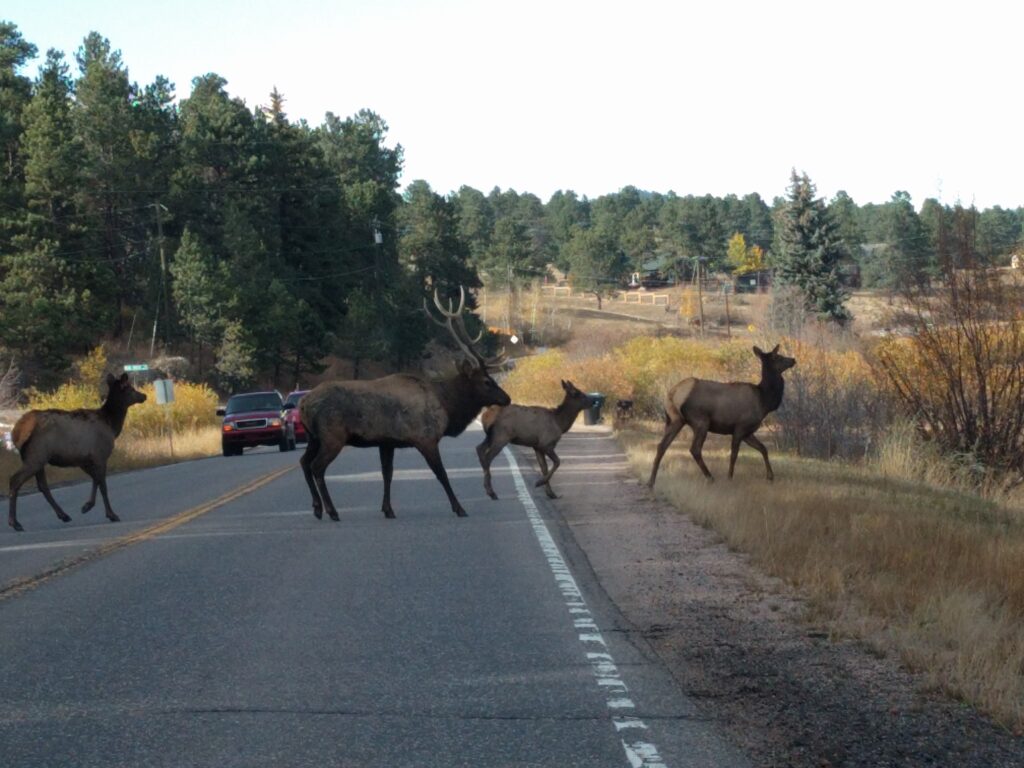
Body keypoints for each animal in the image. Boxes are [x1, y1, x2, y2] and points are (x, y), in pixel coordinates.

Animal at [7, 372, 147, 532]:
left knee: (43, 486)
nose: (144, 396)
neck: (112, 426)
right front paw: (111, 514)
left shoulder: (84, 460)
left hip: (37, 457)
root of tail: (16, 431)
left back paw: (63, 515)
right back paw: (15, 522)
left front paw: (87, 506)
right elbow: (103, 485)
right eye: (131, 388)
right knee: (15, 480)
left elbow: (95, 480)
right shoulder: (100, 455)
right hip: (36, 455)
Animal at [299, 287, 510, 521]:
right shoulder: (426, 438)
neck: (447, 406)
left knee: (304, 462)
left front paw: (388, 509)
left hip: (313, 437)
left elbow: (388, 474)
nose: (507, 398)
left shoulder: (387, 442)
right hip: (332, 436)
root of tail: (303, 404)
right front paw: (459, 508)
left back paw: (317, 508)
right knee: (317, 467)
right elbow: (442, 474)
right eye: (486, 381)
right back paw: (331, 511)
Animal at [647, 344, 796, 487]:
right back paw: (710, 478)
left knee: (662, 446)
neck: (764, 402)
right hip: (701, 421)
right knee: (695, 449)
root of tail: (673, 394)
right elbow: (734, 454)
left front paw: (770, 477)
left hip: (675, 420)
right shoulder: (740, 427)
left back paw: (651, 482)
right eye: (777, 357)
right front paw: (729, 477)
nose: (793, 360)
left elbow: (763, 449)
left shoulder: (748, 432)